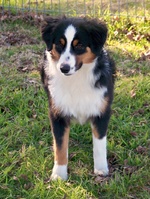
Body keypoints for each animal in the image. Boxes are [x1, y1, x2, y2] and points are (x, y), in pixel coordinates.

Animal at [40, 17, 115, 180]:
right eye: (59, 44)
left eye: (79, 45)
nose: (64, 68)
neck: (76, 78)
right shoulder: (57, 114)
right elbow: (60, 146)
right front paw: (59, 174)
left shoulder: (101, 111)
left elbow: (99, 144)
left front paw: (101, 169)